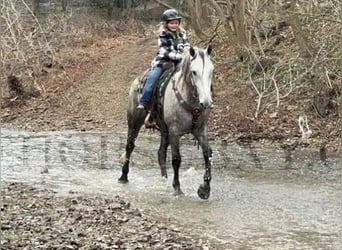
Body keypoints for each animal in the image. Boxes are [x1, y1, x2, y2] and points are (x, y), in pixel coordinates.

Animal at [118, 45, 214, 200]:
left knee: (161, 153)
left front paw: (204, 190)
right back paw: (123, 177)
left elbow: (207, 154)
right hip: (134, 122)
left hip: (164, 129)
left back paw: (164, 179)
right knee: (130, 146)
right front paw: (177, 188)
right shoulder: (175, 132)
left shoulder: (200, 130)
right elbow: (176, 159)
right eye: (194, 72)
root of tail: (136, 81)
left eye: (211, 71)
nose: (206, 102)